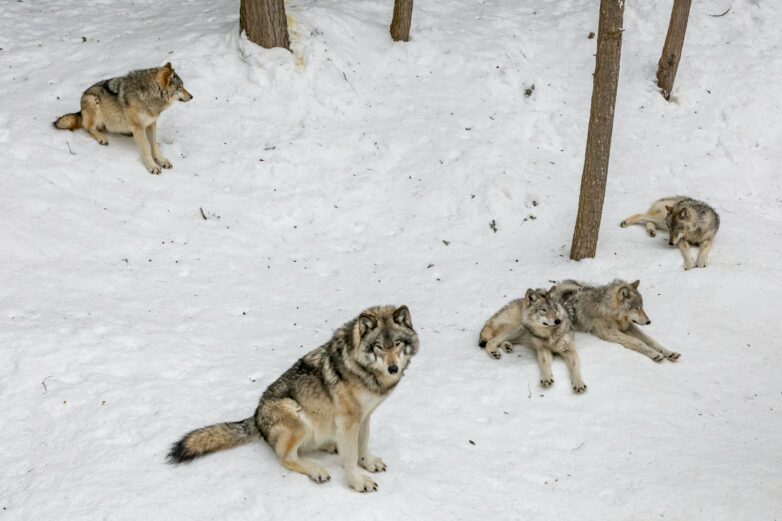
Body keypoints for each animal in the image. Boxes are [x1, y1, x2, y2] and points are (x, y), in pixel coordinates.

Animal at [54, 63, 192, 175]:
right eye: (180, 87)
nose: (192, 96)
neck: (149, 94)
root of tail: (80, 109)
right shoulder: (139, 127)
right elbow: (146, 148)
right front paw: (152, 166)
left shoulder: (151, 124)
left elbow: (154, 146)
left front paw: (162, 161)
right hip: (93, 100)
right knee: (89, 128)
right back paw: (101, 138)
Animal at [167, 305, 418, 493]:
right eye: (378, 346)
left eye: (397, 343)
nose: (393, 368)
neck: (364, 369)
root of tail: (255, 418)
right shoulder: (349, 420)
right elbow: (350, 456)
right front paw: (357, 483)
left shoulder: (364, 417)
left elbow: (362, 445)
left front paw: (368, 463)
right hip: (294, 413)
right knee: (285, 457)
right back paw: (317, 470)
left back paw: (331, 446)